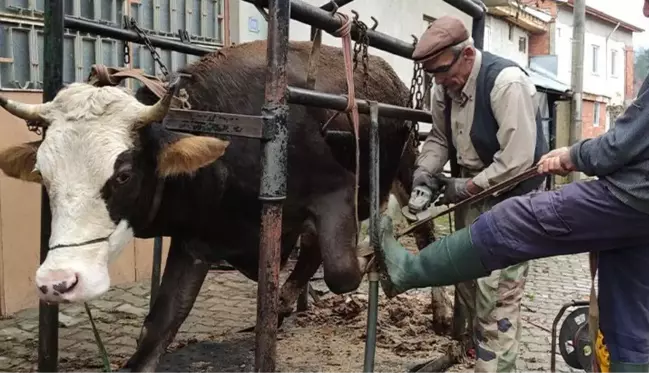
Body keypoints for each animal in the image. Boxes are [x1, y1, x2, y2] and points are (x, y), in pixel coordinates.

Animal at [0, 39, 432, 370]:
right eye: (43, 173)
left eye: (123, 174)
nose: (57, 282)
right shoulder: (197, 241)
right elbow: (159, 326)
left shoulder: (336, 191)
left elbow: (343, 272)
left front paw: (376, 258)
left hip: (409, 163)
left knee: (424, 228)